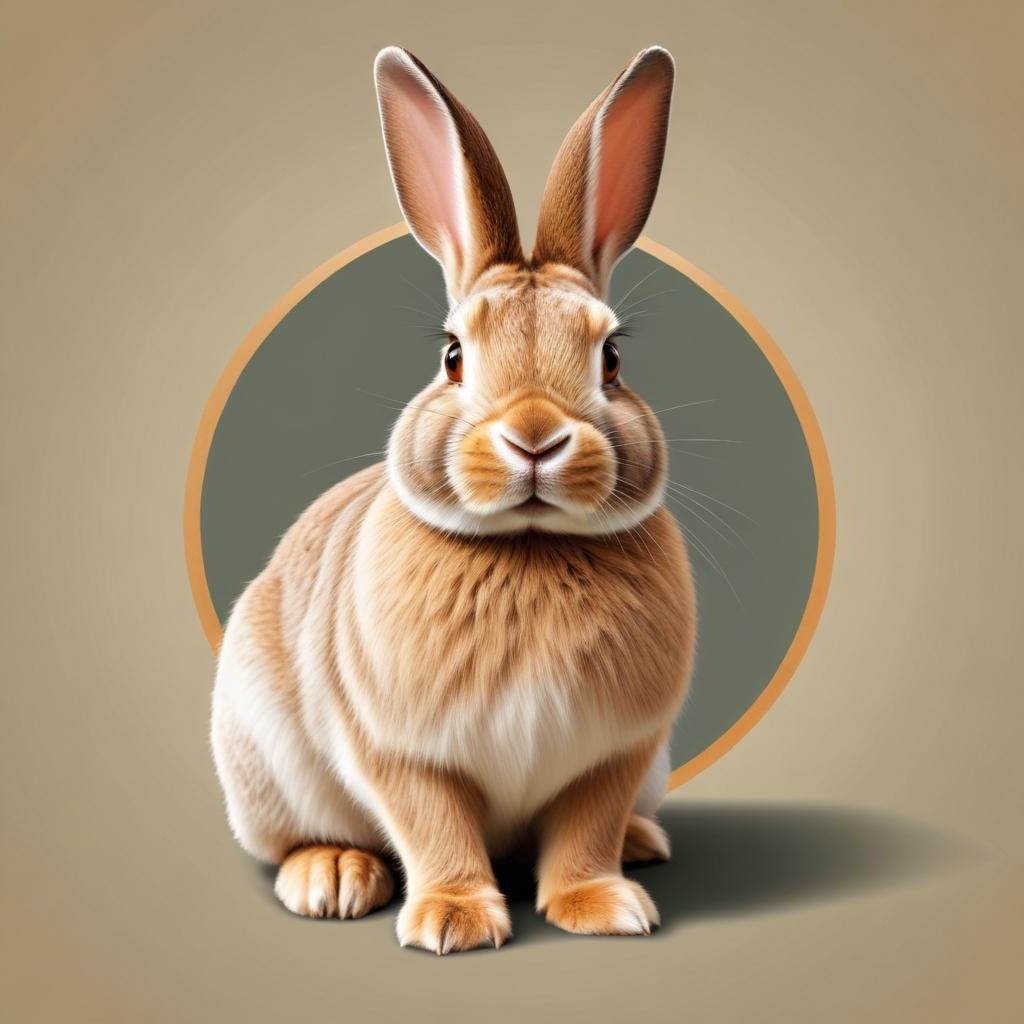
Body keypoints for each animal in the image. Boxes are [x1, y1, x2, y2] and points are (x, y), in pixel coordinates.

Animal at [210, 43, 695, 954]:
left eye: (612, 358)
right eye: (452, 356)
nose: (534, 438)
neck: (530, 546)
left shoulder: (617, 753)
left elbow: (587, 827)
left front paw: (602, 908)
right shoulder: (399, 750)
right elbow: (432, 824)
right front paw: (453, 922)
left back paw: (646, 844)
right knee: (297, 837)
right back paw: (331, 877)